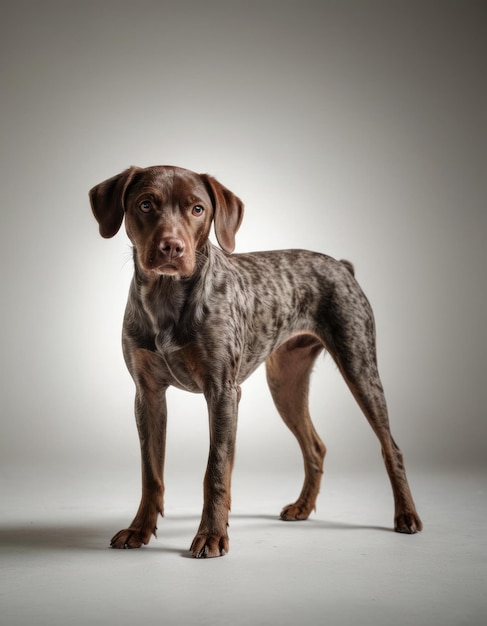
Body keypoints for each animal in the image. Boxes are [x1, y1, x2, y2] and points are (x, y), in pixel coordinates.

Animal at [90, 165, 424, 556]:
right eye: (145, 204)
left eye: (198, 209)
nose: (172, 247)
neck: (166, 300)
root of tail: (342, 266)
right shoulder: (148, 395)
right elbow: (151, 472)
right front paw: (139, 529)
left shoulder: (222, 392)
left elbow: (216, 469)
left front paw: (211, 534)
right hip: (285, 382)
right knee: (315, 446)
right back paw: (302, 507)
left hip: (359, 365)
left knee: (392, 448)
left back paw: (406, 516)